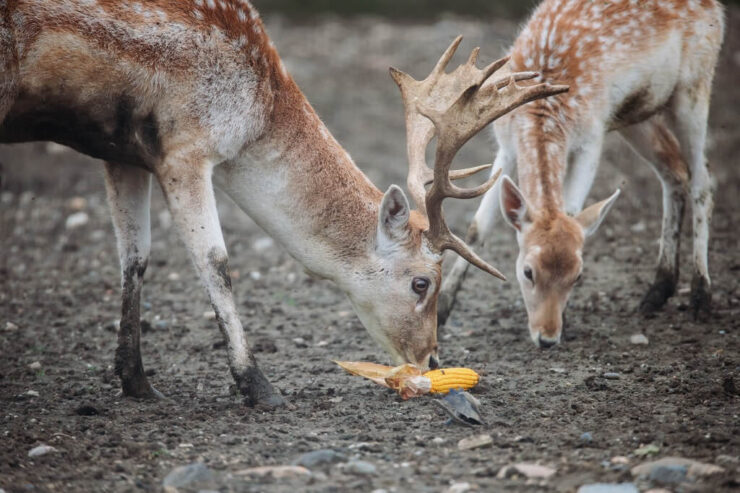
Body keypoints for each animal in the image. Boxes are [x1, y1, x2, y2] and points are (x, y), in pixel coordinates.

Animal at [0, 0, 568, 407]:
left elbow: (134, 258)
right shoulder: (185, 146)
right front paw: (260, 388)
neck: (255, 107)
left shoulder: (121, 152)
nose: (429, 360)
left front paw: (136, 382)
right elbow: (216, 263)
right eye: (422, 282)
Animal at [436, 0, 724, 348]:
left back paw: (700, 297)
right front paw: (441, 311)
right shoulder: (506, 142)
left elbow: (571, 210)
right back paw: (657, 291)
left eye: (578, 275)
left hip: (695, 82)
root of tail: (716, 7)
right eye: (528, 271)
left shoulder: (591, 137)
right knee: (674, 170)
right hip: (636, 114)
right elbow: (478, 225)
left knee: (703, 179)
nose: (547, 338)